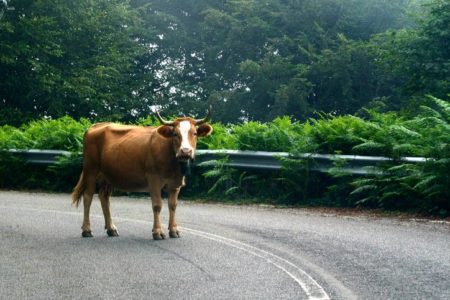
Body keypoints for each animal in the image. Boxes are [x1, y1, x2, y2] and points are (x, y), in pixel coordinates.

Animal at [71, 106, 214, 240]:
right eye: (175, 134)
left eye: (194, 133)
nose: (185, 151)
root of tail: (96, 125)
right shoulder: (154, 180)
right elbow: (157, 205)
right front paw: (158, 232)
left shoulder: (175, 184)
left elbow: (173, 206)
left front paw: (174, 230)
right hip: (91, 170)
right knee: (88, 197)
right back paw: (87, 230)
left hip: (108, 175)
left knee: (104, 198)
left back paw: (111, 228)